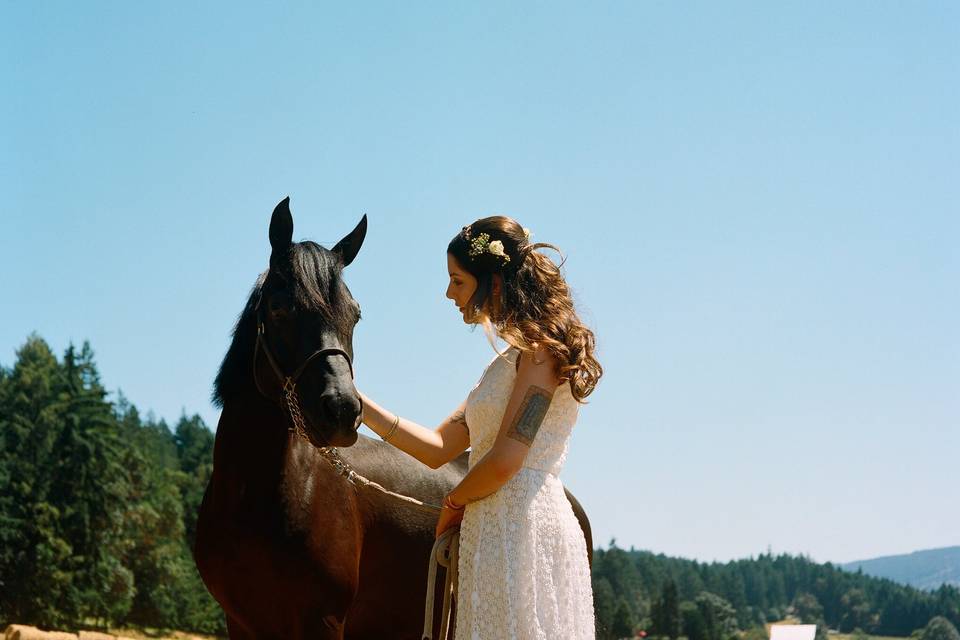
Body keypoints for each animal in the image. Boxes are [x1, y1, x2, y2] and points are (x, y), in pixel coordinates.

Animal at [197, 198, 592, 636]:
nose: (342, 411)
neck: (256, 496)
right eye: (279, 308)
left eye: (355, 315)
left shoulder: (323, 622)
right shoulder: (240, 623)